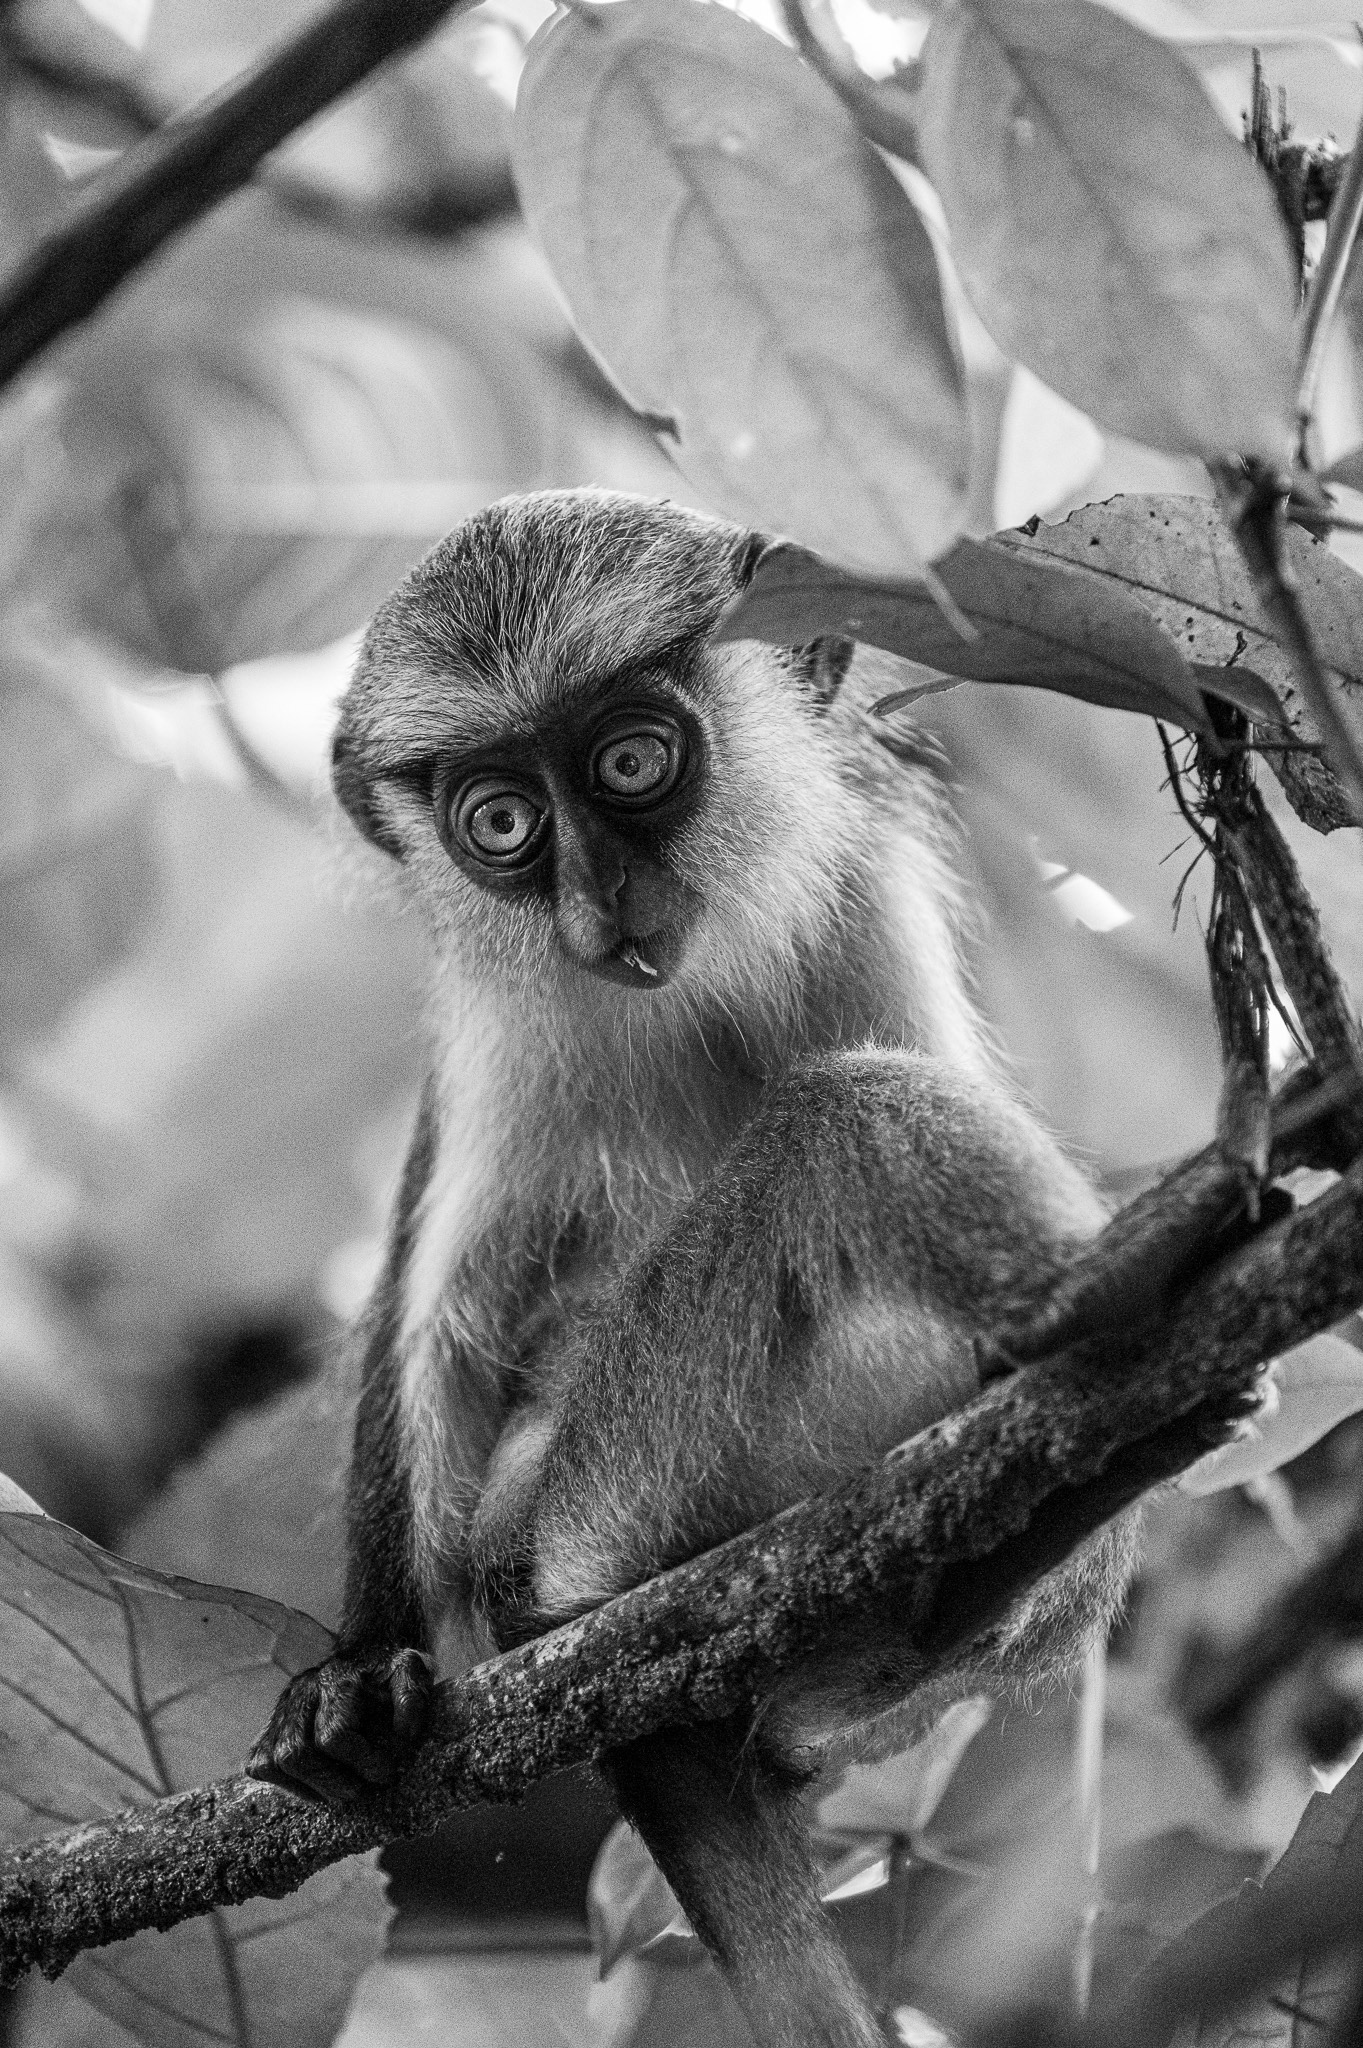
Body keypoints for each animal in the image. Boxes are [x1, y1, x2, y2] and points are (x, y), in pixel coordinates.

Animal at [249, 488, 1136, 2048]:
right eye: (499, 822)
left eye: (631, 761)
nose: (603, 910)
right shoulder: (495, 1023)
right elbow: (432, 1316)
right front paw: (354, 1674)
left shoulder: (860, 879)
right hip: (579, 1504)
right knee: (840, 1122)